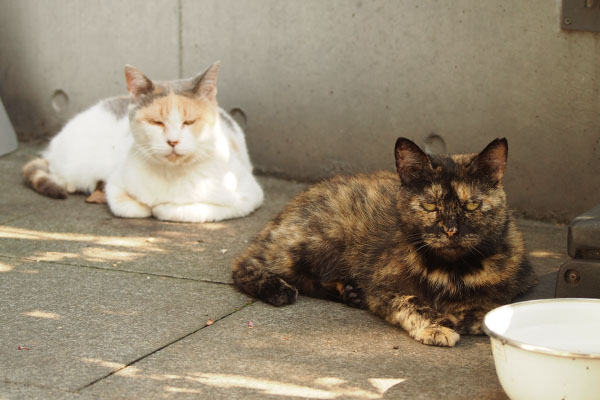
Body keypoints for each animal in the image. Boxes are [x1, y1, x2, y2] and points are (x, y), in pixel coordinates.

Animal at [23, 64, 262, 223]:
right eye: (156, 122)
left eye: (189, 122)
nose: (173, 141)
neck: (171, 175)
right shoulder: (116, 184)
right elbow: (132, 207)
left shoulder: (248, 197)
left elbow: (181, 210)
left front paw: (162, 207)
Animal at [232, 138, 536, 346]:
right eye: (429, 205)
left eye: (471, 205)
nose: (450, 230)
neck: (452, 271)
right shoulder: (383, 288)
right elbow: (412, 300)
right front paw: (437, 326)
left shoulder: (521, 279)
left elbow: (493, 304)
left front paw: (463, 317)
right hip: (316, 242)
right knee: (246, 263)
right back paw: (278, 289)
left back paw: (350, 293)